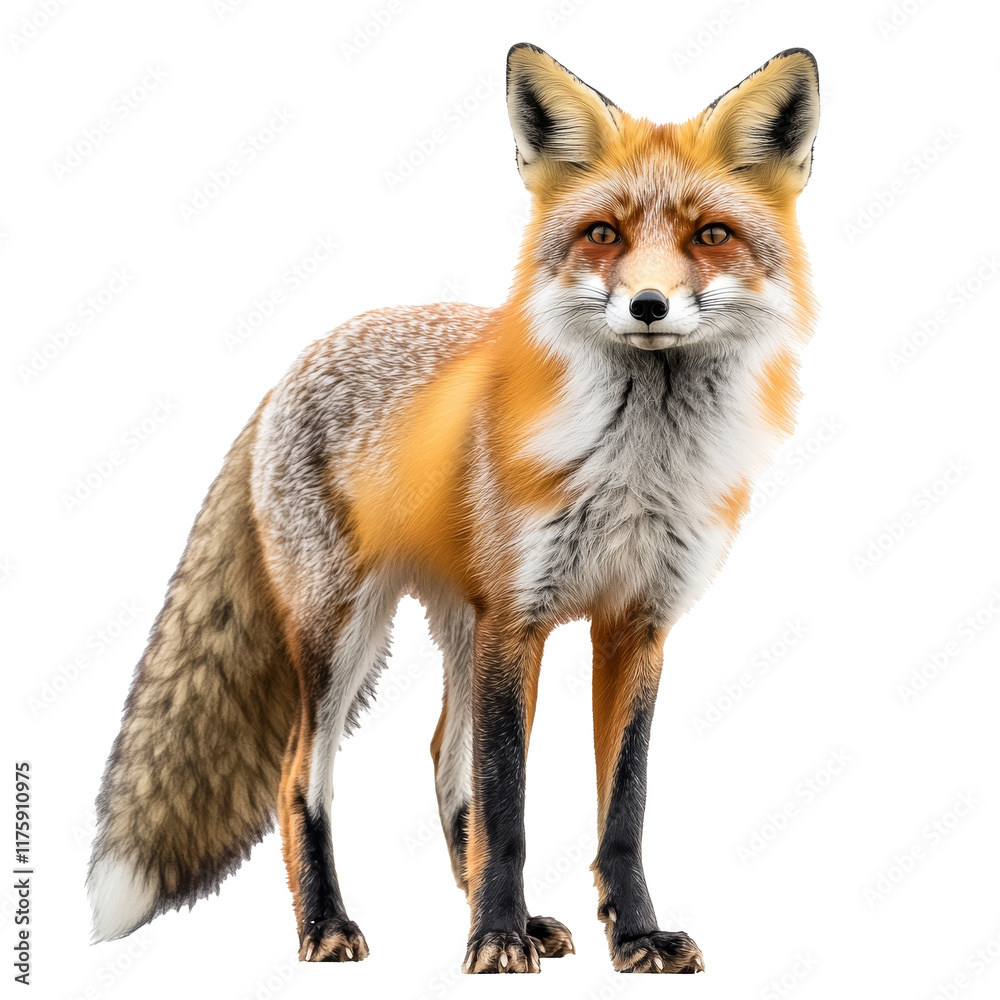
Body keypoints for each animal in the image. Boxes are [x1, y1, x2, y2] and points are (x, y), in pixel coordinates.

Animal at [88, 43, 820, 974]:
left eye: (711, 235)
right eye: (604, 234)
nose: (649, 305)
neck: (637, 469)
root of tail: (293, 364)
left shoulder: (636, 625)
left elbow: (622, 809)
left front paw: (633, 935)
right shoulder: (520, 618)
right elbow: (508, 808)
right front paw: (496, 939)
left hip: (458, 627)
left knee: (442, 758)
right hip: (346, 631)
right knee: (302, 775)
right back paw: (327, 924)